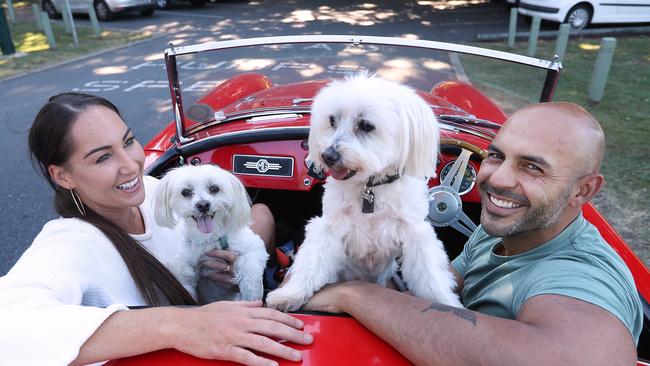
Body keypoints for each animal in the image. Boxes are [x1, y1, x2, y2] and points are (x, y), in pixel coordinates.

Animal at [153, 165, 268, 304]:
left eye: (214, 188)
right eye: (185, 192)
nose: (203, 205)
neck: (210, 237)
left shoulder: (254, 246)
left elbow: (250, 264)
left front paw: (251, 293)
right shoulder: (187, 253)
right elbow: (177, 265)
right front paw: (188, 274)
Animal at [266, 74, 464, 312]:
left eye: (366, 125)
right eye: (332, 121)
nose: (327, 155)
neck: (370, 187)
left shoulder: (415, 232)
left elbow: (430, 274)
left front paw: (446, 303)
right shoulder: (330, 226)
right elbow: (313, 262)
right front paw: (290, 294)